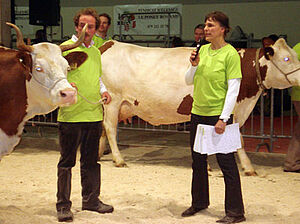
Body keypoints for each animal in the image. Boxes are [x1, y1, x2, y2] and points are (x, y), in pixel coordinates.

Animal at [98, 38, 300, 175]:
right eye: (286, 58)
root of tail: (108, 44)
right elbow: (233, 139)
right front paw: (245, 167)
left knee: (102, 128)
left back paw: (99, 154)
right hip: (113, 100)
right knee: (110, 127)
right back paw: (119, 159)